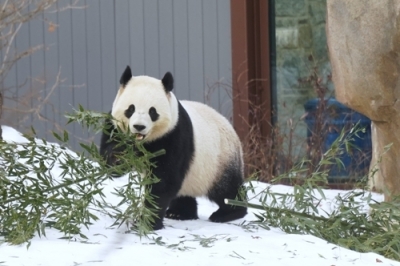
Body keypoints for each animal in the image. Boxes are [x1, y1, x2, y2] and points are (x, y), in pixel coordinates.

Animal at [100, 65, 247, 230]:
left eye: (152, 111)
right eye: (130, 109)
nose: (139, 126)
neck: (143, 143)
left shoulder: (174, 135)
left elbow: (164, 180)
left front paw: (147, 222)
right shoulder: (113, 127)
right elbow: (110, 162)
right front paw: (118, 158)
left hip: (220, 160)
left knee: (227, 189)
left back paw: (227, 213)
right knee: (184, 192)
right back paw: (179, 213)